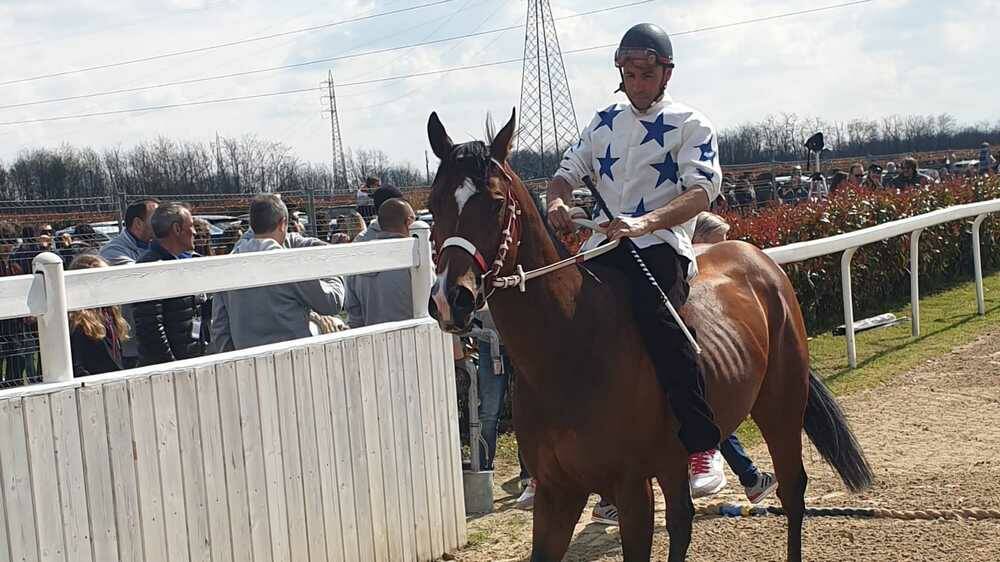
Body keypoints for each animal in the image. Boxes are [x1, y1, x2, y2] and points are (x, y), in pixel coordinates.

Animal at [426, 110, 872, 560]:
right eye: (434, 204)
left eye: (496, 203)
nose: (452, 298)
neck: (568, 349)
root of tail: (759, 259)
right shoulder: (556, 492)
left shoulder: (630, 490)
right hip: (675, 457)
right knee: (682, 521)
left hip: (779, 405)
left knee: (793, 492)